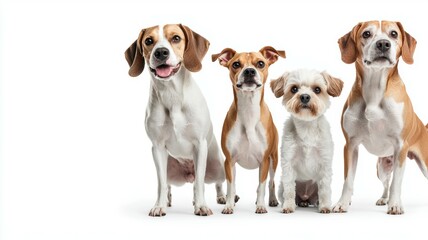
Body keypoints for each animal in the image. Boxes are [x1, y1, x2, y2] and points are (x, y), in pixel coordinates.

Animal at [123, 23, 226, 217]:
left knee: (214, 182)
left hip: (218, 167)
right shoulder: (157, 147)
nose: (161, 52)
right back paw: (169, 199)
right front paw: (159, 205)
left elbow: (199, 183)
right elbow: (161, 184)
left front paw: (201, 206)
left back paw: (222, 197)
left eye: (176, 38)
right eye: (149, 41)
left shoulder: (200, 145)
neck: (172, 95)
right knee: (170, 183)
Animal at [270, 68, 344, 213]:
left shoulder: (325, 162)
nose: (304, 96)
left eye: (317, 89)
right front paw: (288, 206)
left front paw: (325, 206)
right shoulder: (288, 162)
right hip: (282, 186)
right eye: (294, 89)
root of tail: (305, 196)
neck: (307, 127)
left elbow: (325, 189)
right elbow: (289, 189)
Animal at [334, 20, 428, 215]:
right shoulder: (351, 145)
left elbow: (396, 183)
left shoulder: (400, 146)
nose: (383, 44)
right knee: (385, 183)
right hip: (382, 167)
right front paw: (343, 202)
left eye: (393, 34)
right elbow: (348, 180)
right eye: (366, 34)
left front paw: (395, 205)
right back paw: (384, 198)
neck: (375, 88)